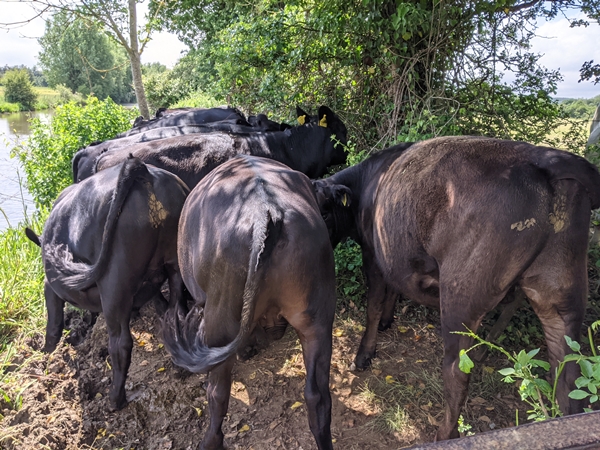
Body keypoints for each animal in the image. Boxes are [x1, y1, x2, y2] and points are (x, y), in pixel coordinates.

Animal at [24, 157, 189, 412]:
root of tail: (142, 170)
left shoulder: (49, 286)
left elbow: (53, 324)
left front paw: (46, 354)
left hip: (114, 284)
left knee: (120, 343)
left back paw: (114, 399)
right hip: (174, 263)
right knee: (177, 314)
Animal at [162, 156, 336, 450]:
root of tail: (267, 213)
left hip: (219, 322)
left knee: (218, 392)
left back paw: (211, 440)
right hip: (317, 322)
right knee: (318, 396)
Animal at [312, 136, 600, 440]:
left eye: (325, 212)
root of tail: (547, 160)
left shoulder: (372, 252)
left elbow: (374, 305)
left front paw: (364, 354)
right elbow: (392, 291)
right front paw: (388, 322)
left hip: (459, 298)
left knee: (457, 371)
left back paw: (444, 434)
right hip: (561, 296)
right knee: (569, 374)